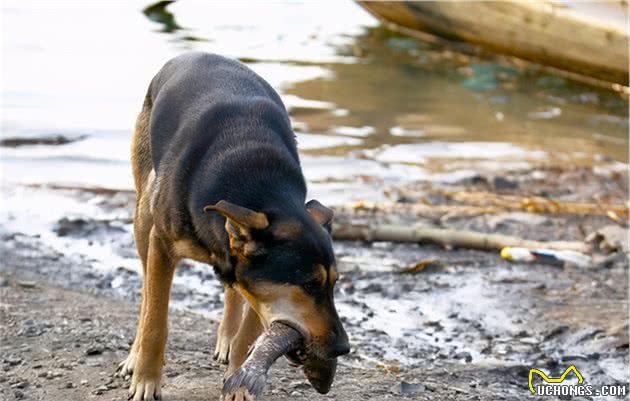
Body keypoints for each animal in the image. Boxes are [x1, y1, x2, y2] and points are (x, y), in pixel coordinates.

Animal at [118, 53, 350, 400]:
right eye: (309, 284)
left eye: (334, 284)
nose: (343, 348)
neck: (257, 181)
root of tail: (193, 55)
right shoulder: (161, 244)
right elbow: (155, 320)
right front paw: (146, 381)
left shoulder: (260, 285)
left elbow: (248, 330)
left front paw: (239, 383)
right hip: (144, 213)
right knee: (146, 292)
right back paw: (135, 356)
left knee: (233, 291)